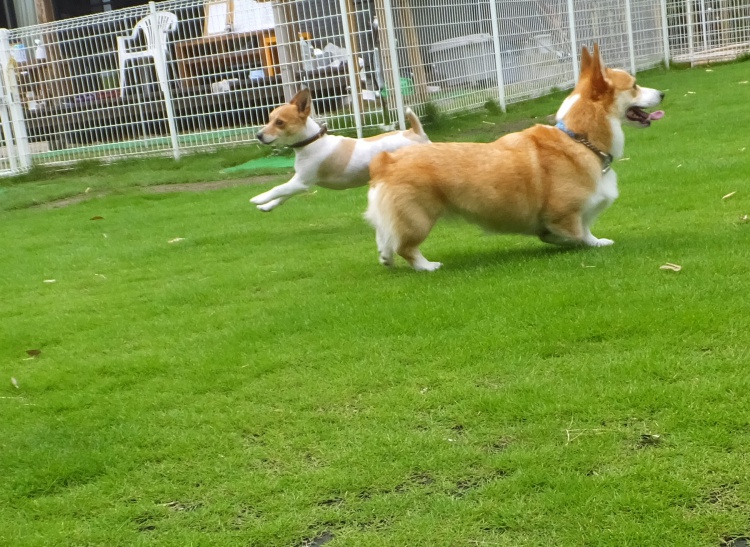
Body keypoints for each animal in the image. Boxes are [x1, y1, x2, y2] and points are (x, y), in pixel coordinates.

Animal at [250, 89, 430, 212]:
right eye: (269, 119)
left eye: (279, 122)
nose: (258, 135)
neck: (312, 141)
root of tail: (416, 133)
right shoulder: (298, 182)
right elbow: (283, 195)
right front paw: (267, 205)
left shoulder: (301, 183)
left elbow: (278, 188)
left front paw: (259, 198)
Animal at [365, 44, 664, 271]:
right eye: (634, 86)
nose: (662, 93)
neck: (579, 139)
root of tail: (386, 162)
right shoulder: (565, 214)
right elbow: (575, 234)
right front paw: (556, 238)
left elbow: (587, 232)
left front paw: (597, 241)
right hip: (418, 219)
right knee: (405, 247)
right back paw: (427, 266)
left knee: (385, 237)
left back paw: (386, 257)